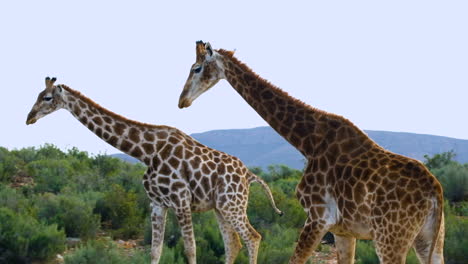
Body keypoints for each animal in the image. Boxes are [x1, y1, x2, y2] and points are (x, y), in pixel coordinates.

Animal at [26, 76, 282, 264]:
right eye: (37, 96)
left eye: (47, 97)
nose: (29, 118)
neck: (147, 152)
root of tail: (249, 175)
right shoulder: (157, 203)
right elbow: (155, 251)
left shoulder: (181, 199)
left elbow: (190, 249)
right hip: (221, 207)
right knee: (233, 244)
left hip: (232, 204)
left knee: (252, 237)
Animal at [177, 41, 444, 264]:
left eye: (196, 68)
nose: (182, 101)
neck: (308, 142)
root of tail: (435, 192)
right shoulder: (343, 230)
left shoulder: (317, 218)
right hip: (430, 239)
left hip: (391, 238)